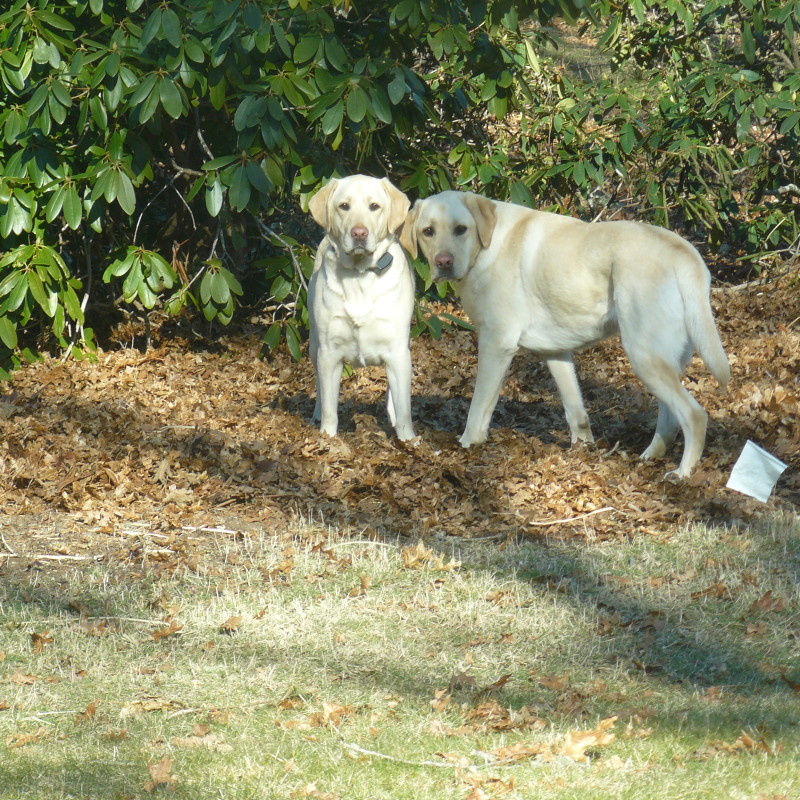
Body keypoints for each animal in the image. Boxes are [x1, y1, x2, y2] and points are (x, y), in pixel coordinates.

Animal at [310, 175, 416, 440]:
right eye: (344, 206)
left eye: (374, 206)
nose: (359, 233)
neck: (359, 274)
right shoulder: (329, 353)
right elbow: (330, 408)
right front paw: (327, 439)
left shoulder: (397, 351)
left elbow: (404, 407)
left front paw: (408, 440)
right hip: (314, 345)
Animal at [400, 191, 732, 478]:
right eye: (428, 231)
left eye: (461, 229)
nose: (443, 262)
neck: (487, 245)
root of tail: (685, 253)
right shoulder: (555, 353)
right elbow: (576, 411)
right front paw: (583, 449)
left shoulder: (496, 344)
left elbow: (479, 407)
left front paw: (468, 445)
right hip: (660, 358)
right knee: (669, 415)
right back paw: (651, 456)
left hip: (644, 354)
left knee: (694, 415)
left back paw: (682, 473)